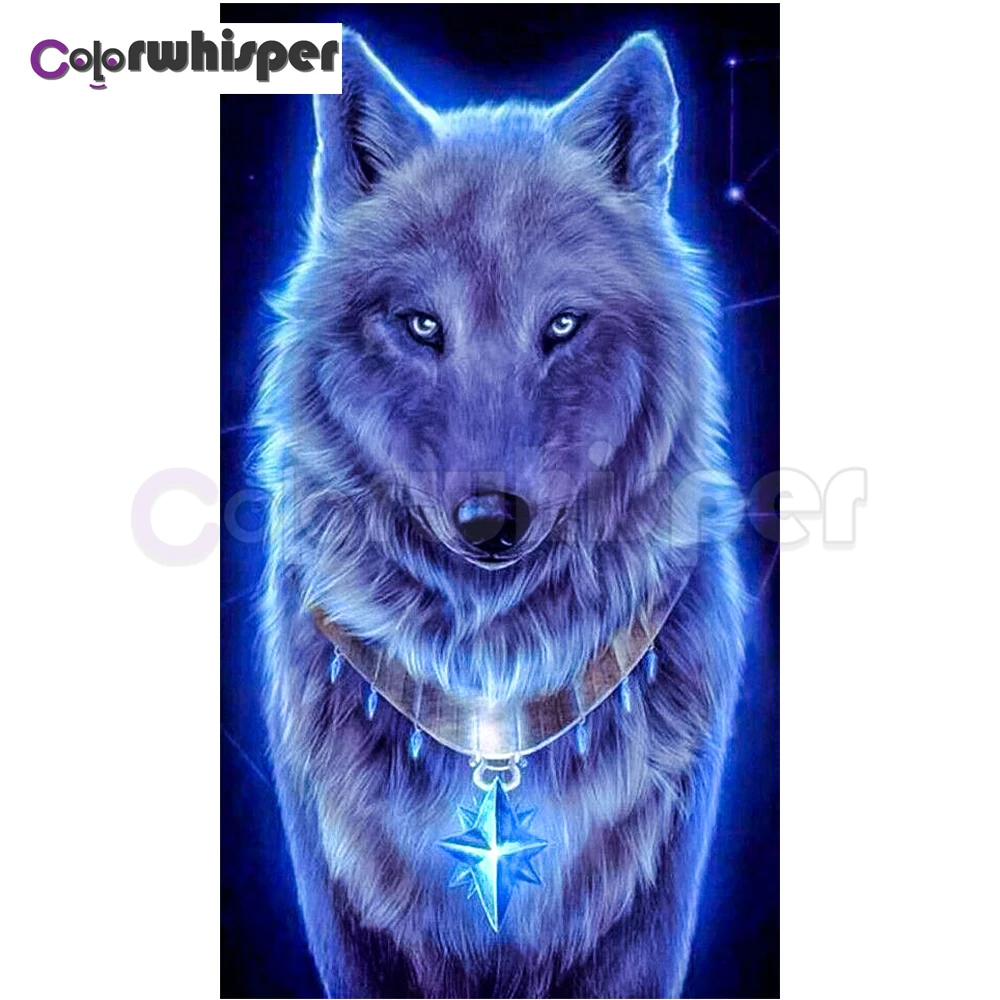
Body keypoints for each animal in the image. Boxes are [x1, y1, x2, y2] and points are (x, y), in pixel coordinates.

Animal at [255, 28, 746, 999]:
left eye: (560, 326)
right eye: (421, 325)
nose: (490, 520)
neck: (494, 689)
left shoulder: (648, 914)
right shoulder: (346, 915)